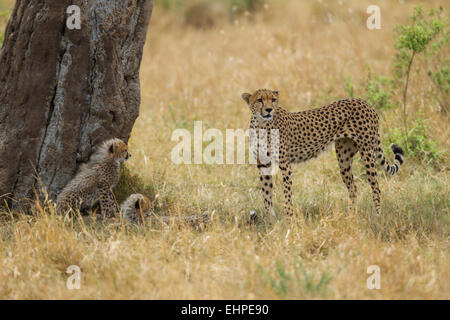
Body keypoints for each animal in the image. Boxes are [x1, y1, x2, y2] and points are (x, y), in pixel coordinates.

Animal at [243, 89, 404, 216]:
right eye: (259, 100)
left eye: (273, 100)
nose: (269, 109)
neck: (261, 125)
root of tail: (365, 102)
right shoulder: (263, 164)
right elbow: (266, 195)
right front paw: (270, 222)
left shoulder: (285, 165)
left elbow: (287, 194)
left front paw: (289, 220)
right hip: (344, 158)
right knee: (353, 187)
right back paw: (351, 216)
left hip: (367, 152)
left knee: (376, 188)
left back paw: (377, 215)